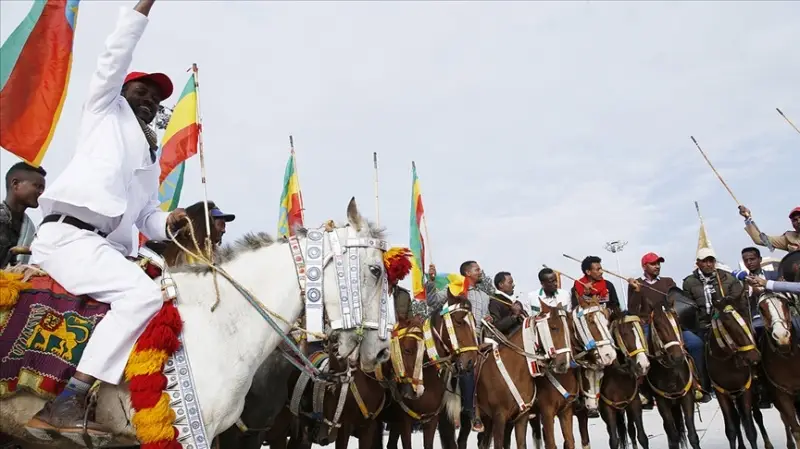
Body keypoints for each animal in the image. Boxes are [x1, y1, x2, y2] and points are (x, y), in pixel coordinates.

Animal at [644, 290, 700, 448]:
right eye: (657, 324)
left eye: (677, 320)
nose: (677, 357)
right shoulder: (662, 403)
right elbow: (673, 435)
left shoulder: (687, 398)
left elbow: (692, 432)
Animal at [708, 294, 764, 448]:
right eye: (726, 324)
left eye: (745, 315)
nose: (753, 357)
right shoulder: (721, 393)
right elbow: (731, 428)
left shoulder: (745, 389)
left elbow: (750, 428)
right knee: (736, 419)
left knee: (756, 416)